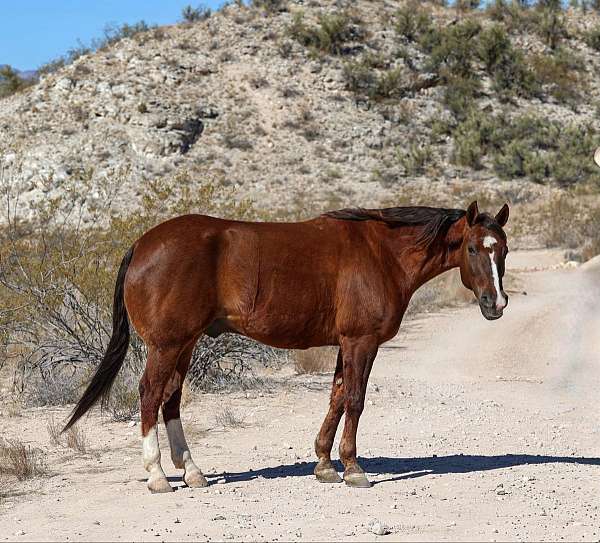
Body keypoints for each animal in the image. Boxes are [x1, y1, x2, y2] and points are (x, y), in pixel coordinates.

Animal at [62, 200, 510, 492]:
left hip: (184, 345)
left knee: (169, 399)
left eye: (502, 249)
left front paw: (325, 464)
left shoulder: (345, 343)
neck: (381, 253)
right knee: (150, 394)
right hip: (167, 345)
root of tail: (142, 244)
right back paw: (157, 476)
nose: (497, 303)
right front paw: (353, 468)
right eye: (473, 248)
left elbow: (336, 397)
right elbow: (355, 400)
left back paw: (193, 472)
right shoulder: (361, 342)